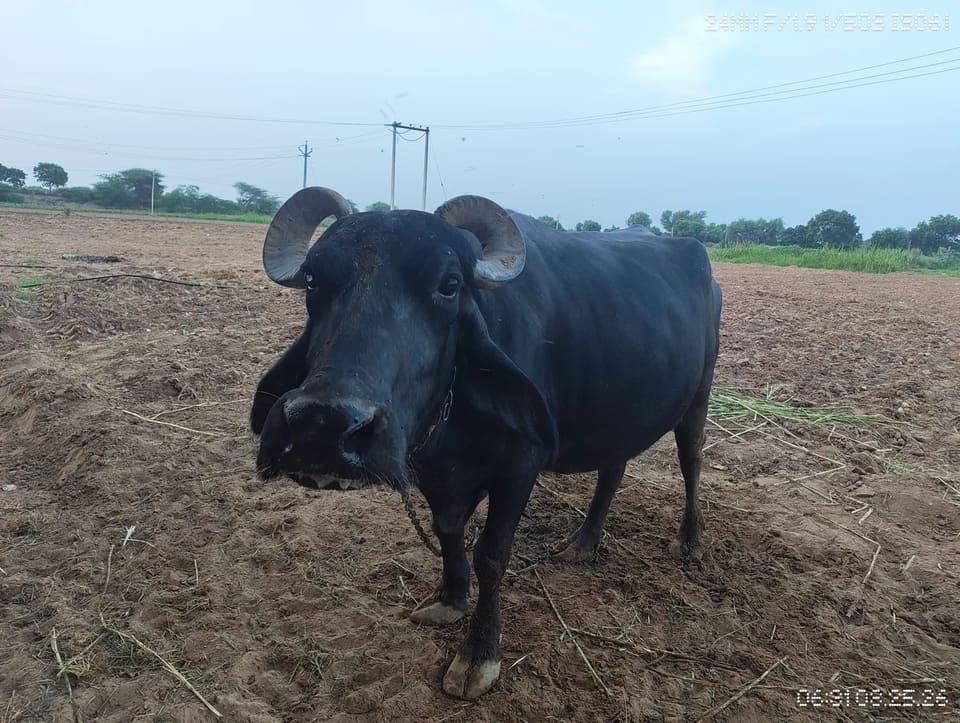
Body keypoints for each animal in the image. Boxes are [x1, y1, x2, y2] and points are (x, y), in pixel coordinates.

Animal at [251, 187, 722, 699]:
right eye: (313, 280)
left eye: (449, 284)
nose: (324, 426)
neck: (451, 423)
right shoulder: (434, 473)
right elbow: (447, 531)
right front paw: (452, 599)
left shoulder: (520, 465)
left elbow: (492, 556)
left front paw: (479, 655)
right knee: (613, 467)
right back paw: (584, 542)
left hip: (699, 396)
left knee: (691, 458)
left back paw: (691, 540)